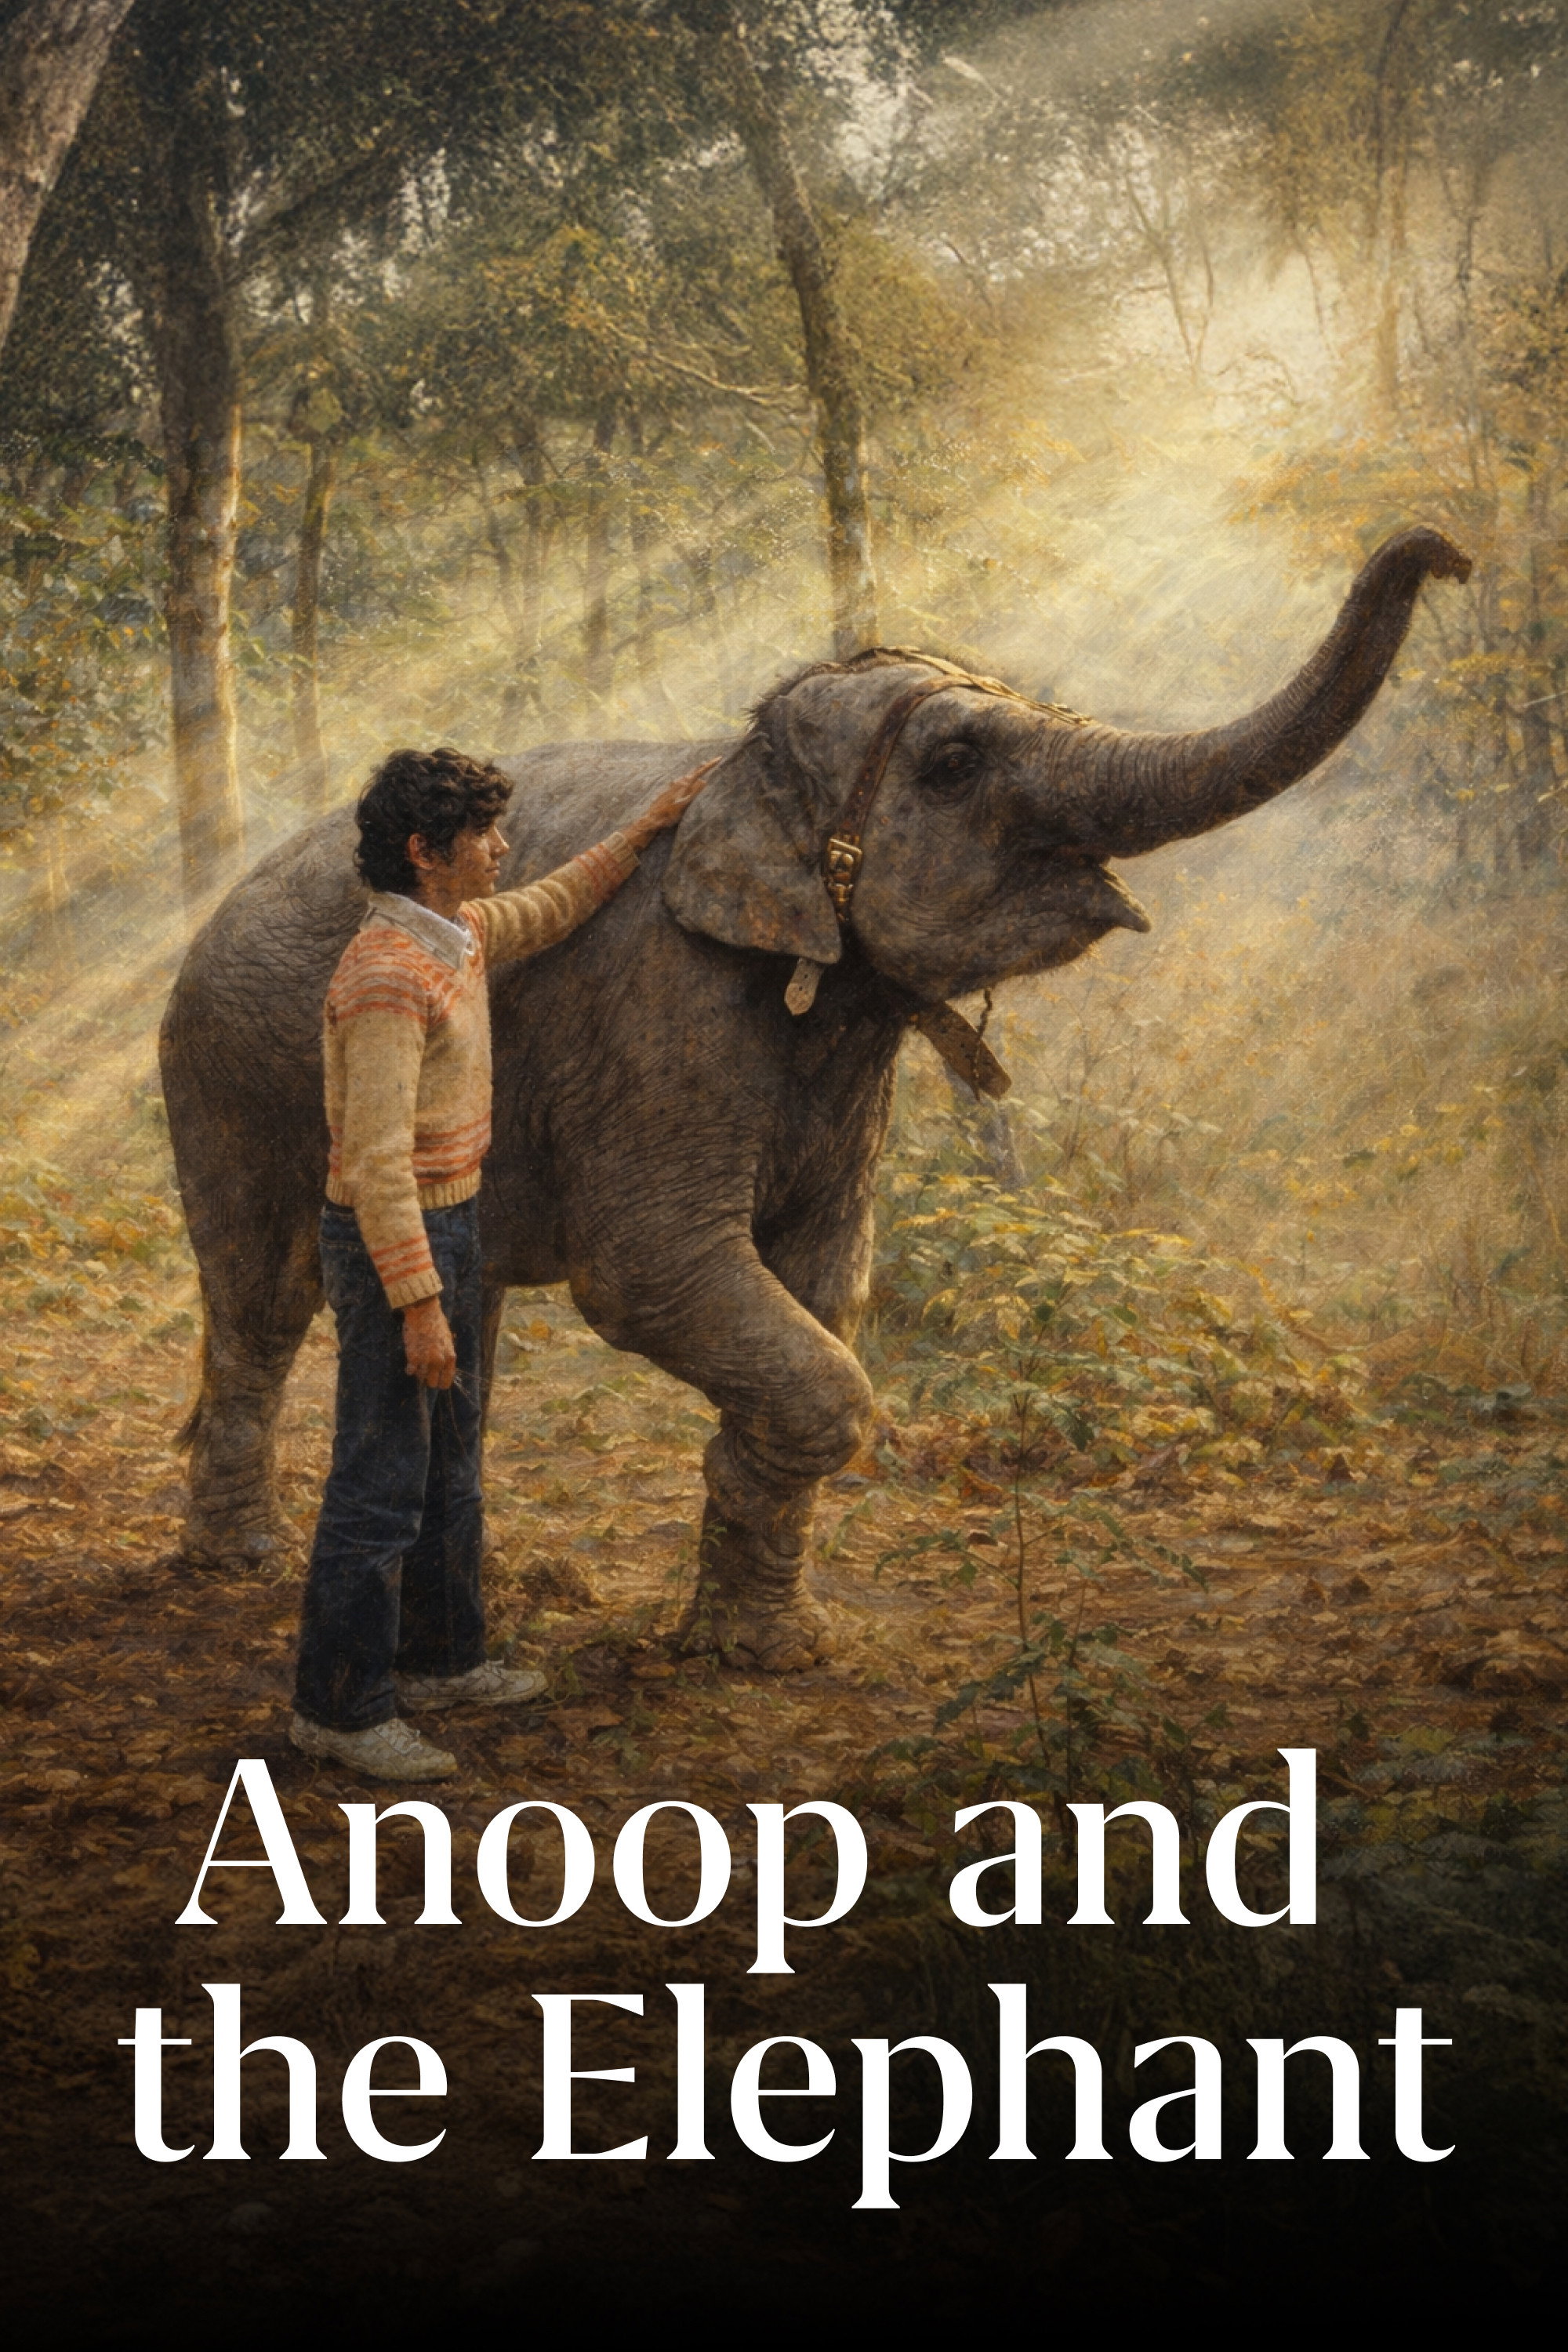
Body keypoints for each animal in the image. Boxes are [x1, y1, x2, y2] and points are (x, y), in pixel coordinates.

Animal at [160, 524, 1470, 1670]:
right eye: (954, 762)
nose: (1449, 554)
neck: (742, 772)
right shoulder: (659, 1012)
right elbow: (656, 1275)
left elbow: (829, 1282)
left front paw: (763, 1650)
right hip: (227, 1071)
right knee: (267, 1304)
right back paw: (243, 1562)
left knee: (450, 1332)